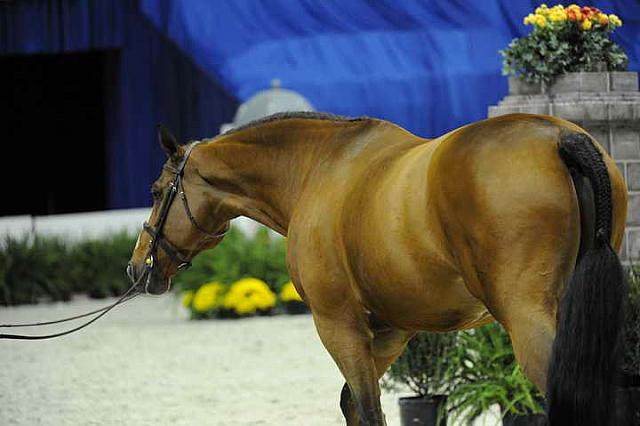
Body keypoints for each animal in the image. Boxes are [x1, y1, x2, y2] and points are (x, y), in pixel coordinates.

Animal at [127, 113, 628, 426]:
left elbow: (367, 409)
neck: (319, 169)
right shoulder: (391, 330)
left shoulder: (338, 324)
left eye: (156, 191)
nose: (137, 268)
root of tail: (559, 138)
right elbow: (353, 403)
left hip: (529, 321)